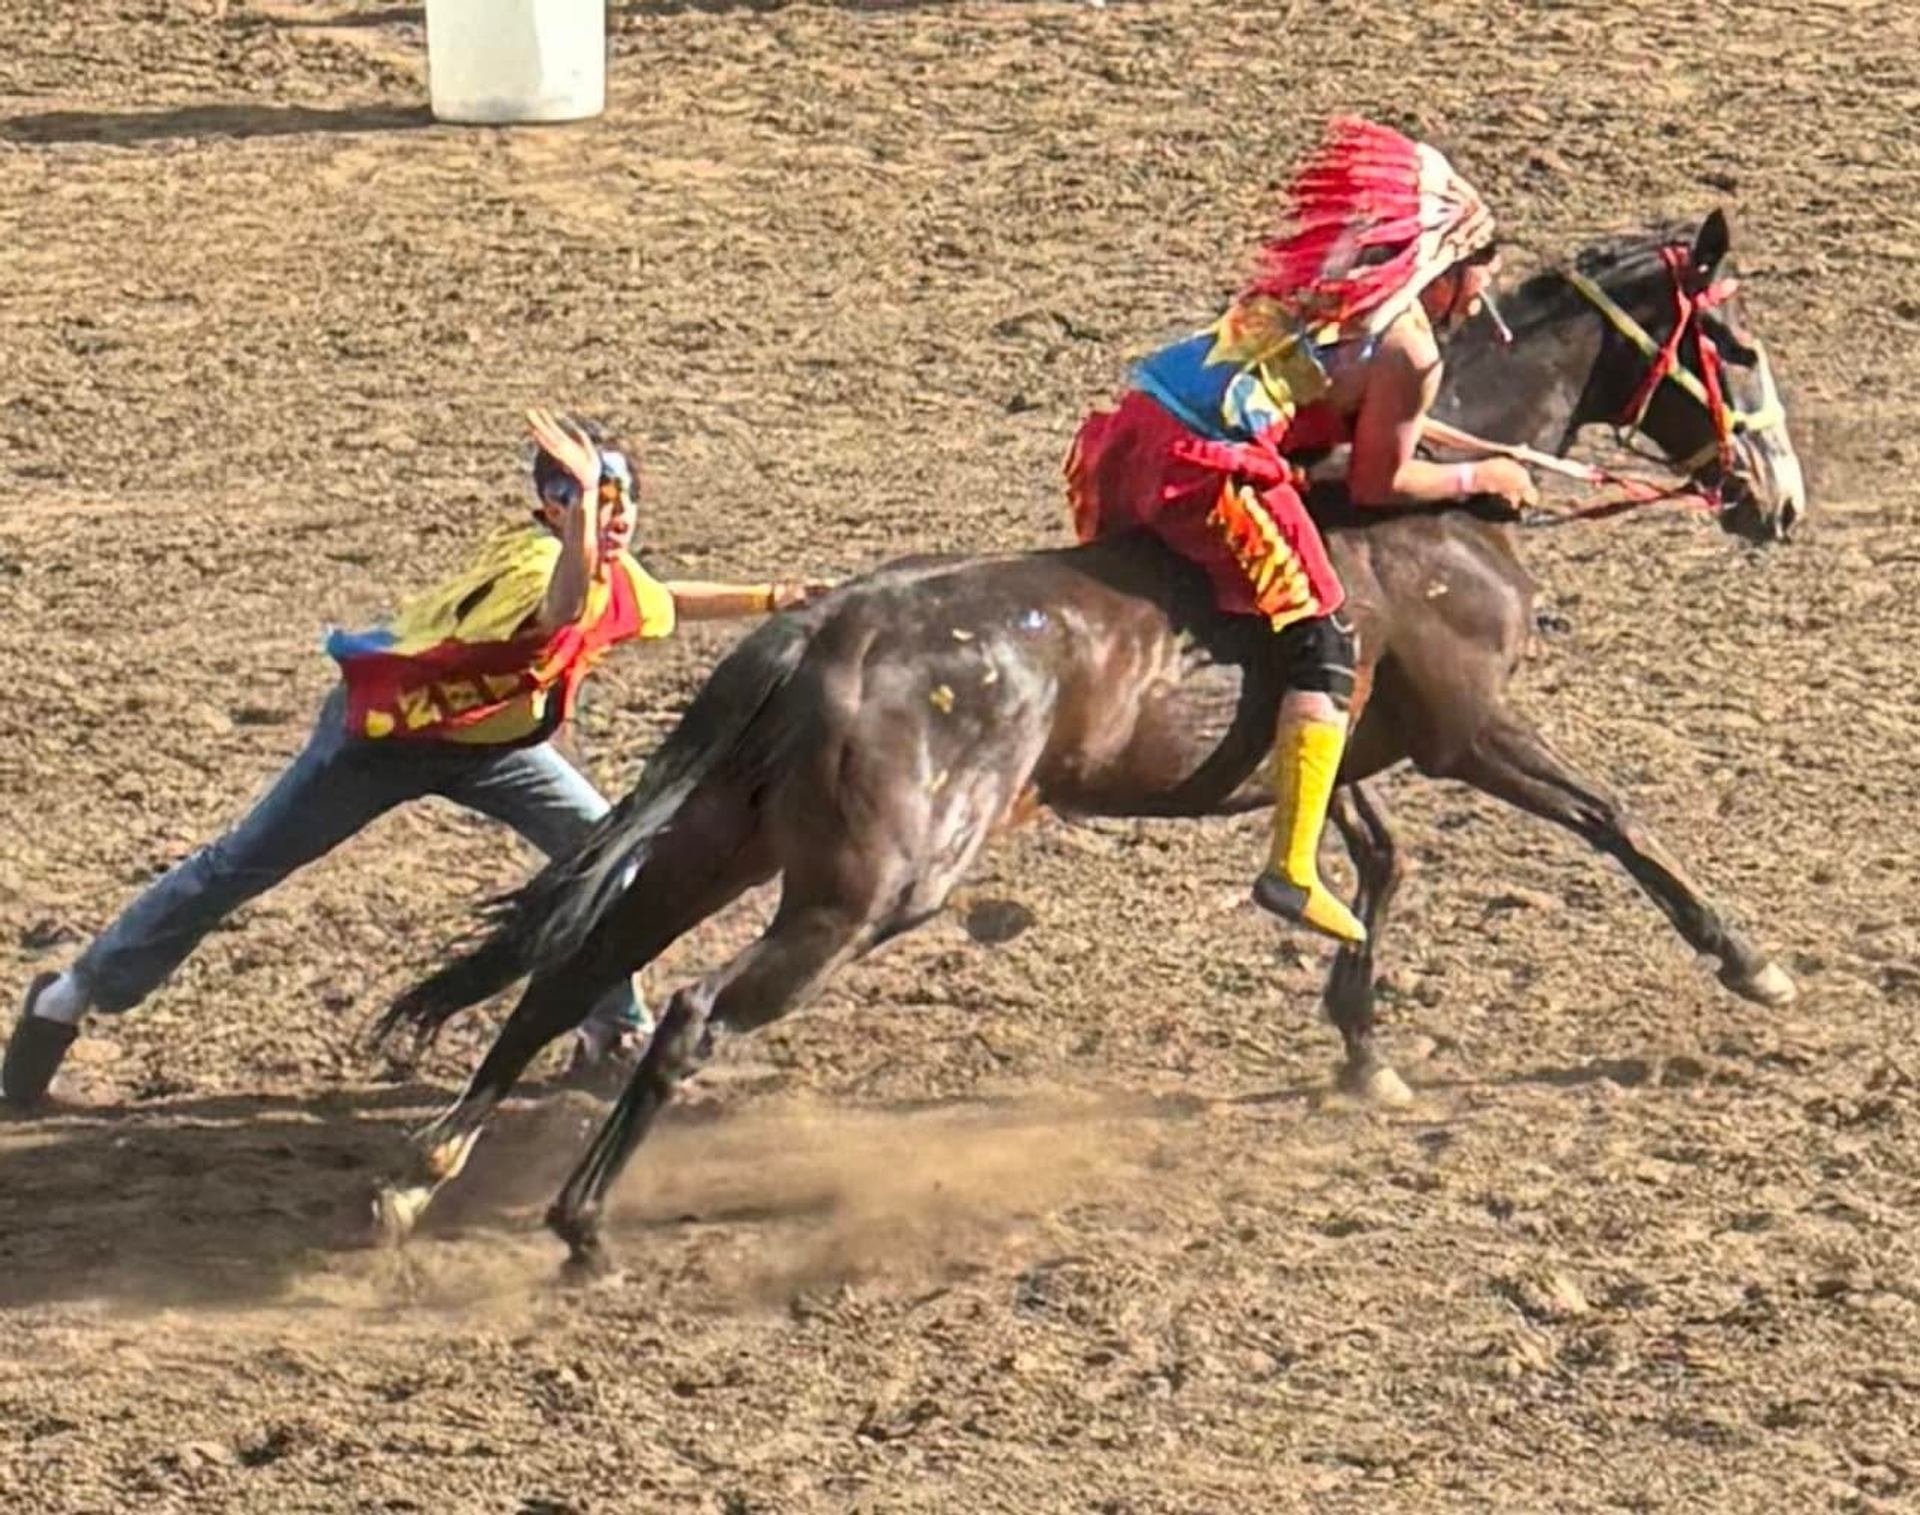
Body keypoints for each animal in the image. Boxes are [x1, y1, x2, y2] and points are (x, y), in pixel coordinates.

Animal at [372, 210, 1809, 1272]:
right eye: (1733, 344)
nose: (1780, 501)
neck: (1423, 507)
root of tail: (822, 630)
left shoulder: (1343, 730)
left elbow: (1373, 863)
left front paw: (1359, 1036)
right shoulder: (1468, 729)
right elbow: (1611, 818)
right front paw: (1750, 960)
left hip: (724, 840)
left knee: (573, 970)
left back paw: (429, 1170)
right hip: (867, 890)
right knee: (683, 1014)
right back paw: (580, 1225)